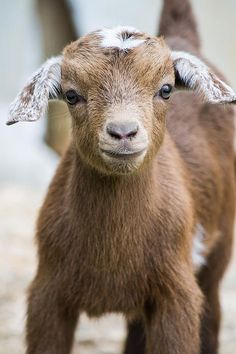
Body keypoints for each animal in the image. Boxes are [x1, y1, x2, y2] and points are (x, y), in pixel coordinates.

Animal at [6, 0, 236, 354]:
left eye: (166, 89)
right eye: (71, 95)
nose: (123, 132)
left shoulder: (177, 295)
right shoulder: (46, 294)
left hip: (219, 247)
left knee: (210, 316)